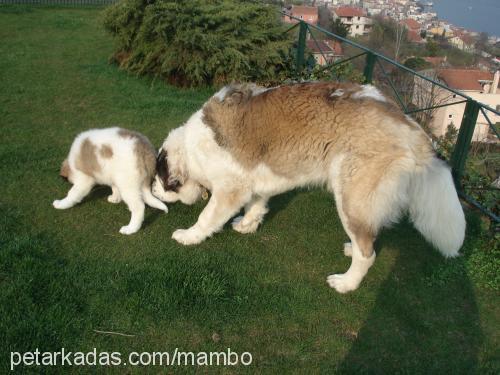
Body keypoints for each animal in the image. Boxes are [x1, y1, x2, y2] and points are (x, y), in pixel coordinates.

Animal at [151, 82, 464, 294]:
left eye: (158, 177)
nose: (152, 189)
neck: (192, 148)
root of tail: (411, 127)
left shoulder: (230, 188)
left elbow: (208, 216)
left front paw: (190, 236)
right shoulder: (256, 179)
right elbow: (257, 203)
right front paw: (248, 224)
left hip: (351, 198)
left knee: (368, 253)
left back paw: (346, 282)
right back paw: (350, 249)